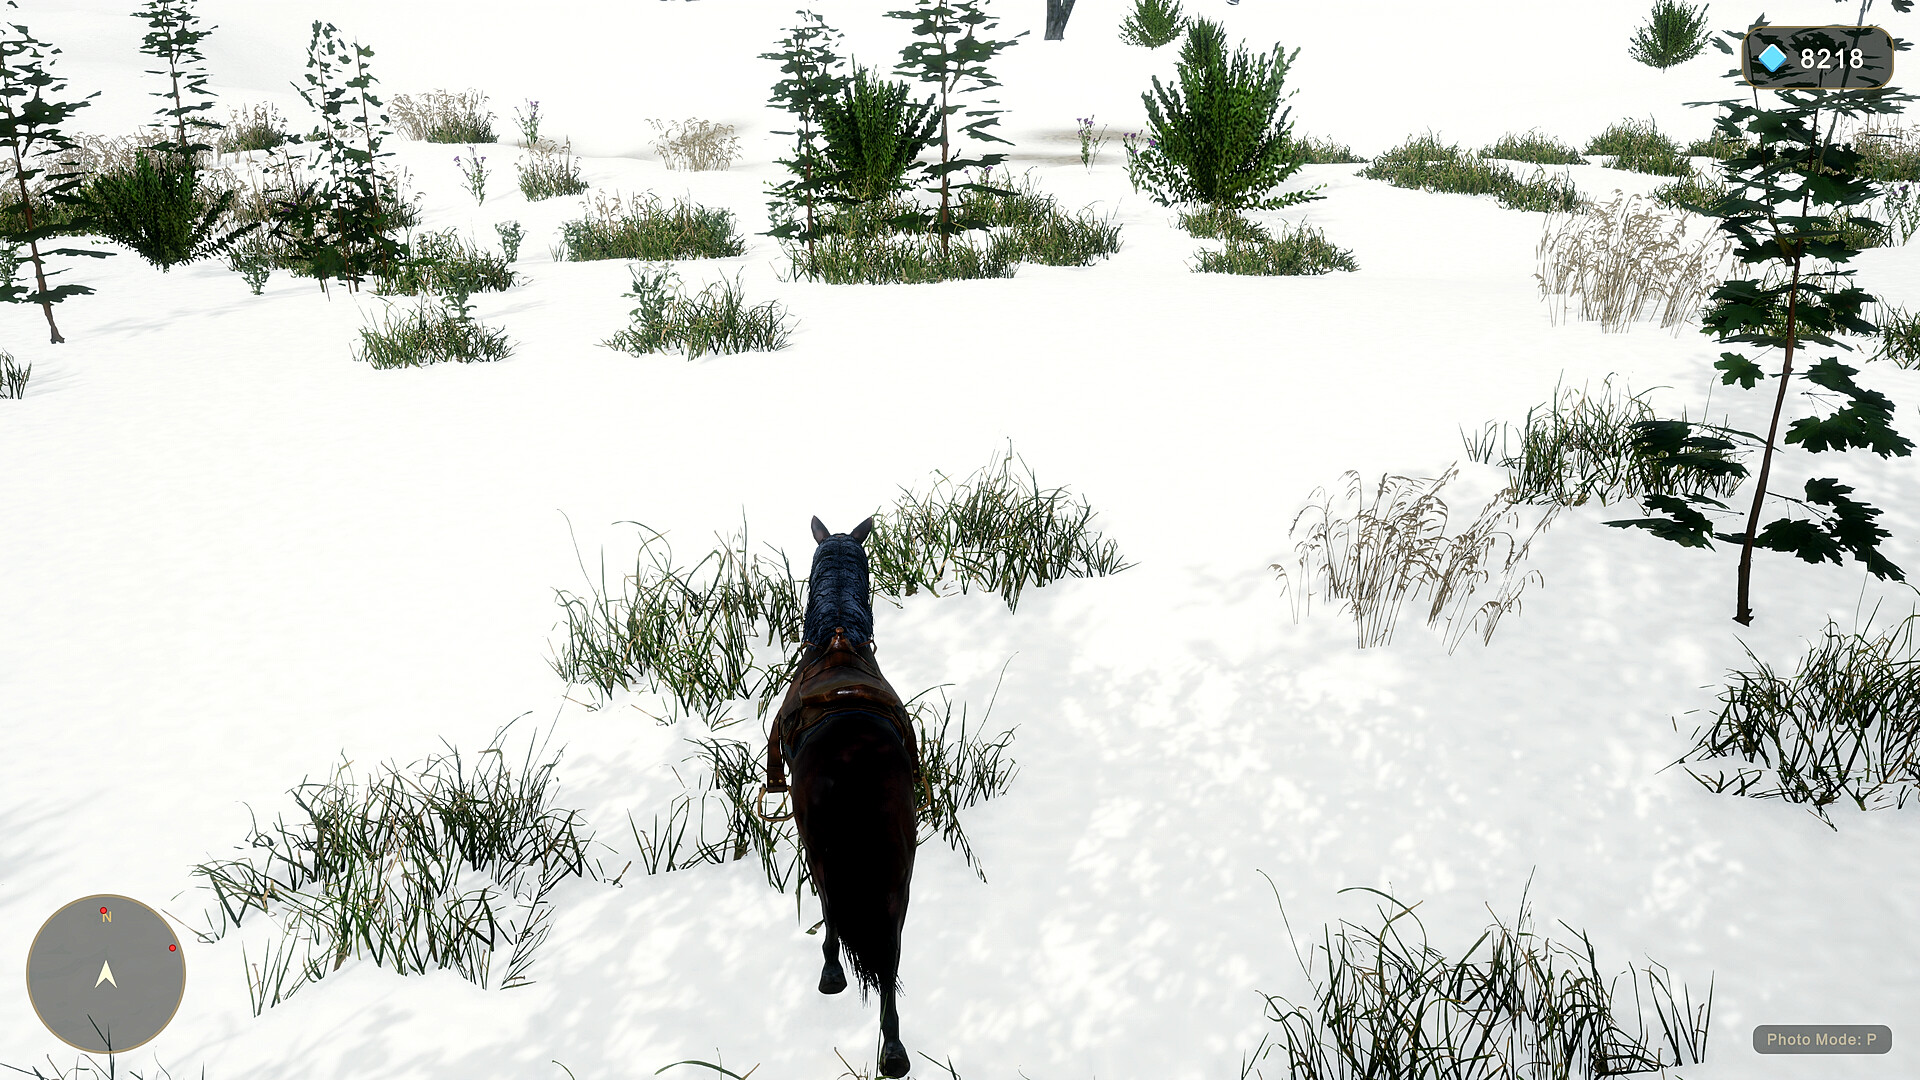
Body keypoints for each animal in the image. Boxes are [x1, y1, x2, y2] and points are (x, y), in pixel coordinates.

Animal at [762, 515, 920, 1078]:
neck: (836, 639)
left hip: (824, 852)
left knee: (833, 909)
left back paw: (831, 974)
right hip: (897, 869)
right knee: (890, 949)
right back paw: (893, 1051)